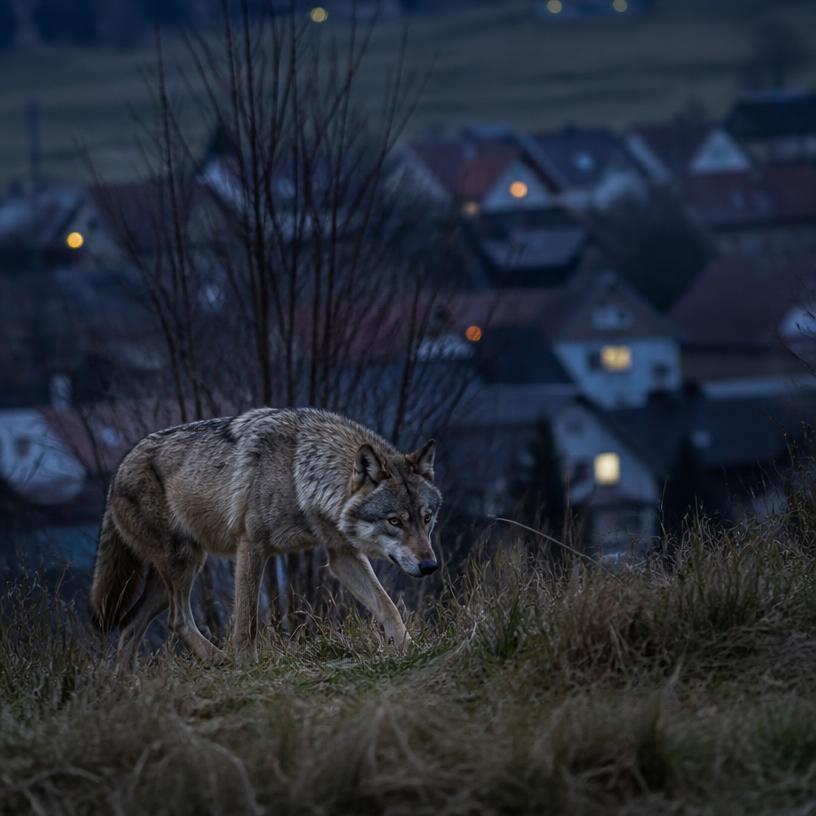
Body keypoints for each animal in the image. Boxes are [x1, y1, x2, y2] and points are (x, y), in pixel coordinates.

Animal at [90, 408, 441, 664]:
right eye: (394, 521)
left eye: (426, 519)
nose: (430, 566)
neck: (299, 476)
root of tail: (116, 472)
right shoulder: (252, 546)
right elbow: (247, 620)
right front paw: (248, 666)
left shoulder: (342, 554)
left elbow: (387, 605)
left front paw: (410, 649)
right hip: (183, 563)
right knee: (177, 620)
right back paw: (221, 661)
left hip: (177, 575)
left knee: (130, 627)